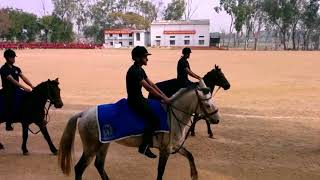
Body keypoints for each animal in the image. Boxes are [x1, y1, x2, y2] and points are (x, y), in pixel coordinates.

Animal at [58, 80, 220, 180]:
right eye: (208, 105)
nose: (217, 119)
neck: (172, 115)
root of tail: (84, 113)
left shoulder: (174, 146)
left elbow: (190, 155)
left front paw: (195, 175)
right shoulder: (165, 150)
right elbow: (160, 171)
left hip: (103, 144)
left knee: (99, 165)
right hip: (91, 147)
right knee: (79, 168)